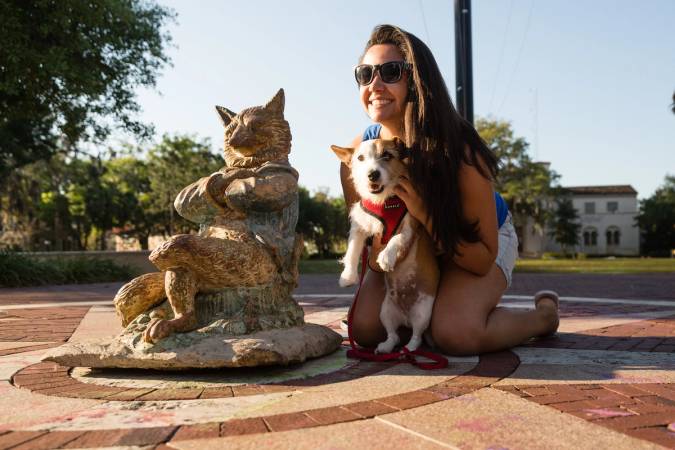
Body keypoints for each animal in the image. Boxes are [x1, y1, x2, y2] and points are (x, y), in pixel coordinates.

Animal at [332, 139, 438, 354]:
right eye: (360, 158)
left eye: (387, 155)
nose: (372, 174)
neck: (383, 202)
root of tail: (405, 317)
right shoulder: (359, 227)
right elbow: (352, 251)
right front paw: (348, 276)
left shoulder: (409, 227)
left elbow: (395, 239)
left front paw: (386, 258)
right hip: (386, 312)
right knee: (393, 335)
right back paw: (385, 347)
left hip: (423, 313)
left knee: (416, 336)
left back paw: (410, 349)